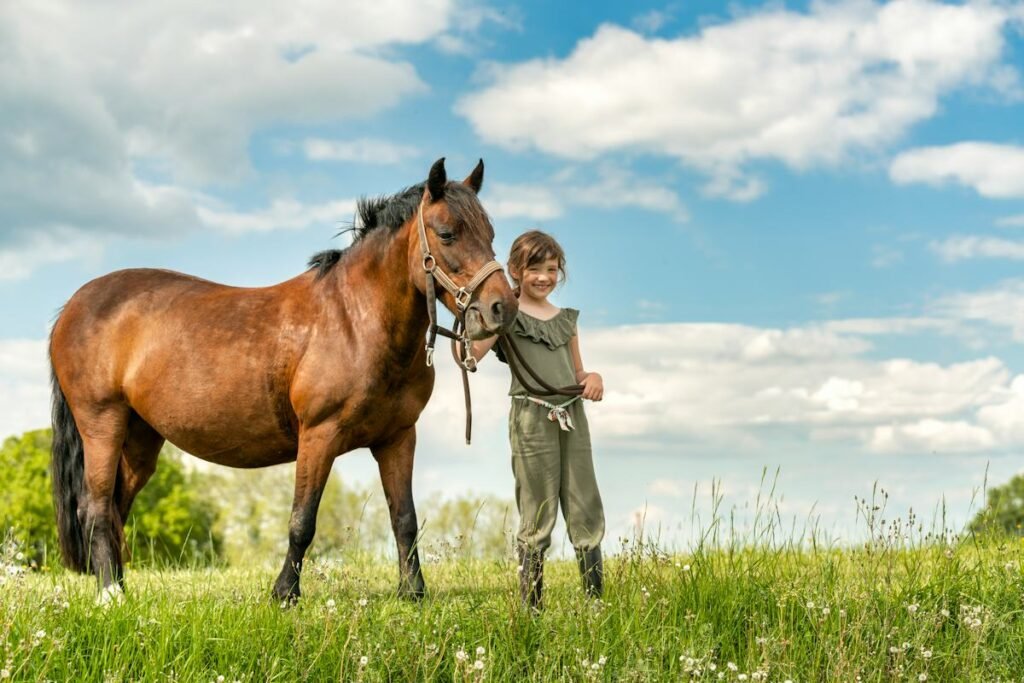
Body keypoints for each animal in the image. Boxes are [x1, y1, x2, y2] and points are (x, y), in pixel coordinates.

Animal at [48, 158, 517, 602]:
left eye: (490, 232)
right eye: (447, 233)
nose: (503, 307)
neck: (355, 320)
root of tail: (73, 306)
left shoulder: (398, 438)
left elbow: (404, 518)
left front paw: (413, 593)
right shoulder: (319, 436)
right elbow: (302, 521)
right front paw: (285, 593)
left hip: (141, 436)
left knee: (116, 507)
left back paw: (120, 587)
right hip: (103, 424)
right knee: (96, 507)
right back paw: (109, 595)